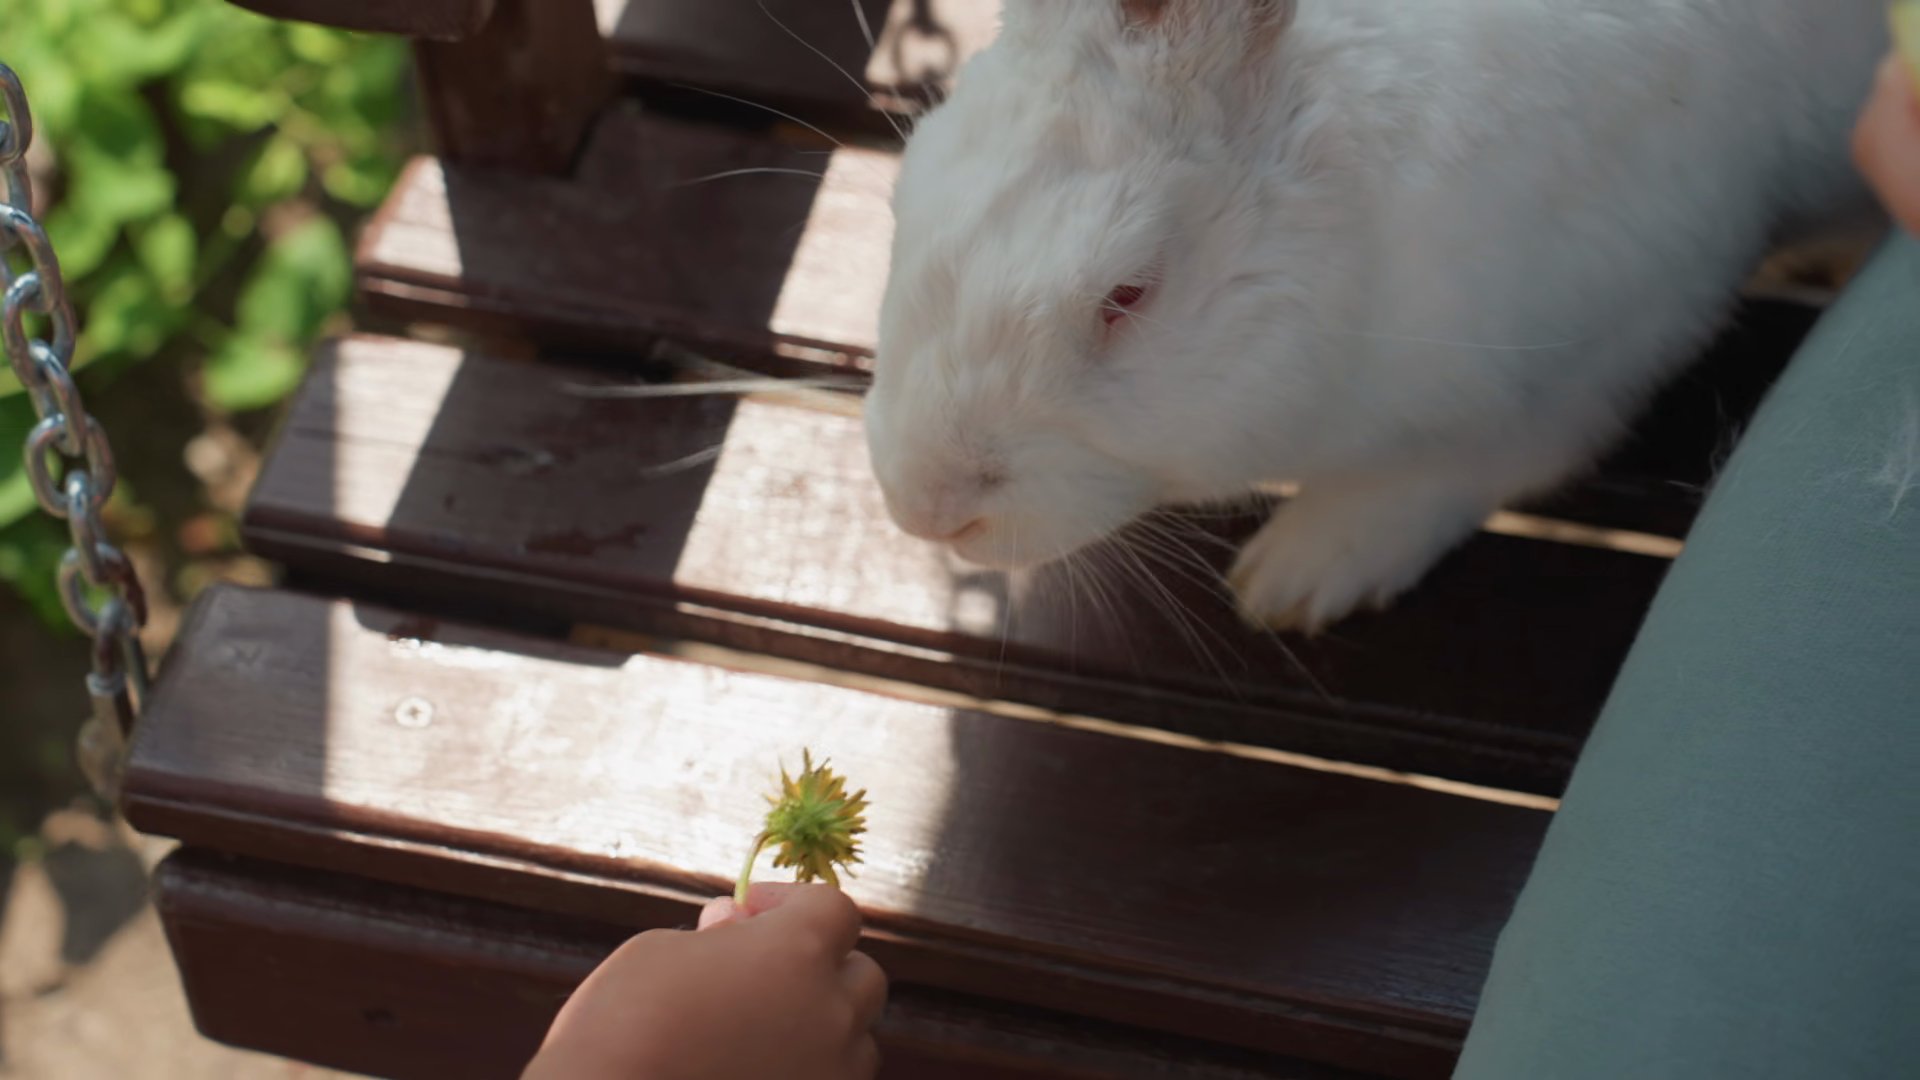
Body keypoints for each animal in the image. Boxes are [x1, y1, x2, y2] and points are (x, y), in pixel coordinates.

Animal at [863, 0, 1890, 633]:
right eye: (906, 189)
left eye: (1128, 294)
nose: (924, 508)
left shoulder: (1614, 333)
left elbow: (1470, 462)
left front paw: (1302, 569)